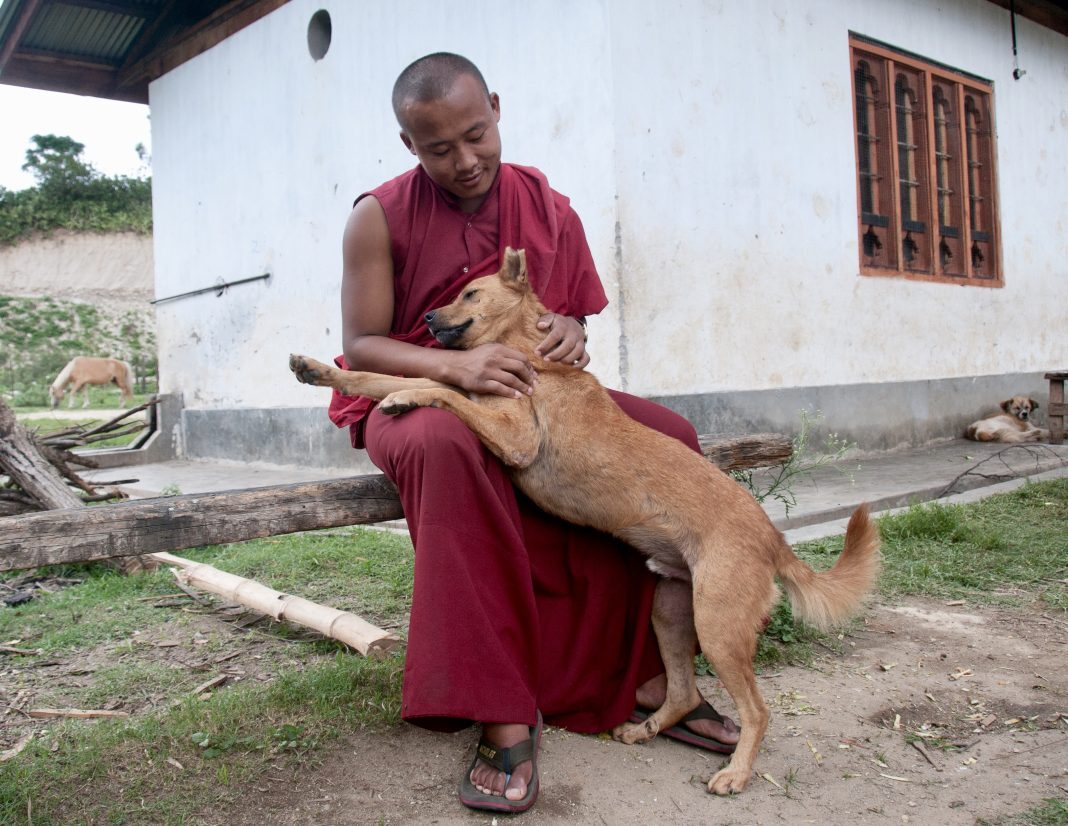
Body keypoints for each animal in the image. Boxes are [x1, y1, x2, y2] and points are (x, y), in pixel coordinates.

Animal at [290, 244, 875, 790]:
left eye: (470, 293)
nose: (428, 319)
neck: (527, 353)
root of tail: (773, 537)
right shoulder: (471, 390)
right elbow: (381, 375)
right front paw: (322, 370)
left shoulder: (515, 437)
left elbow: (436, 392)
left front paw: (406, 395)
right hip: (671, 611)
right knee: (684, 691)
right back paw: (646, 728)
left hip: (719, 626)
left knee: (758, 710)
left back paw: (736, 772)